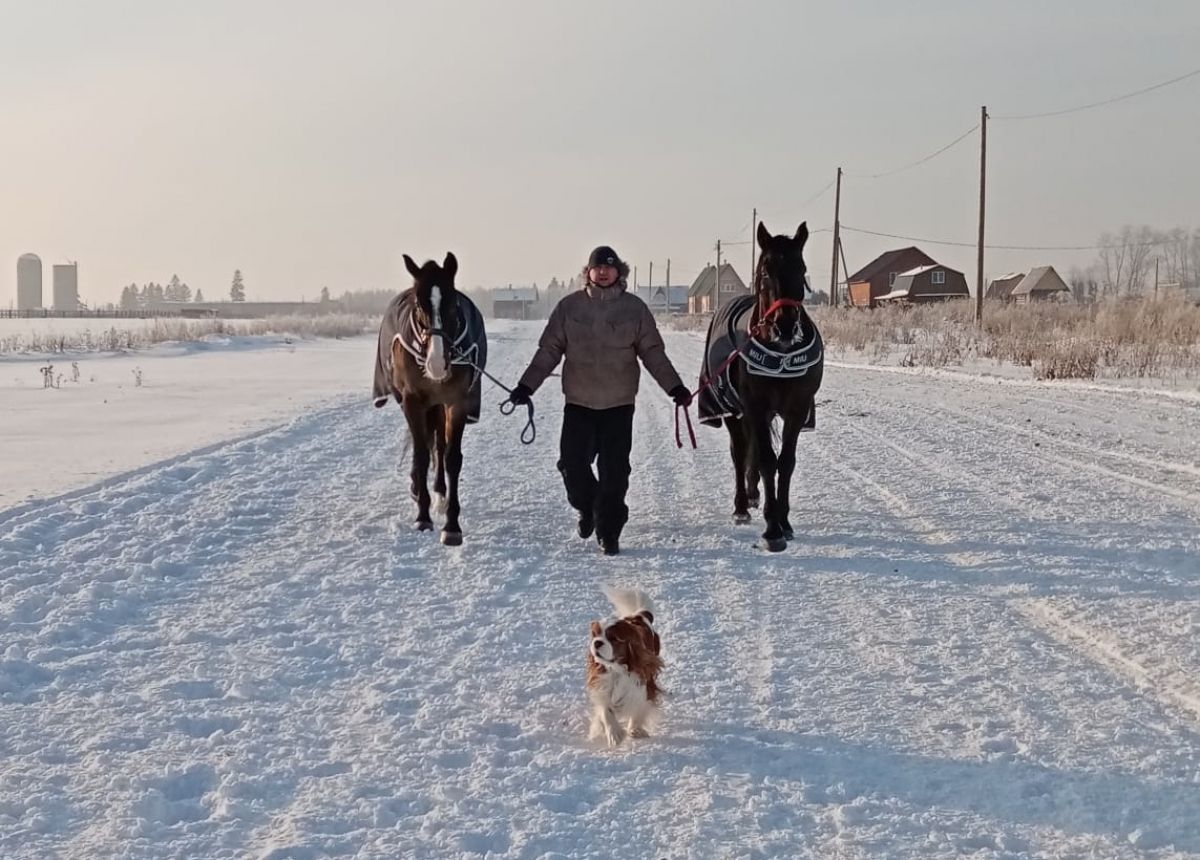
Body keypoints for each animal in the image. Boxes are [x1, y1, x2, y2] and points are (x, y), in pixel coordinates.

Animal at [374, 251, 487, 544]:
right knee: (424, 445)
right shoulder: (413, 402)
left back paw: (439, 493)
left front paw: (452, 525)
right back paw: (419, 489)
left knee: (438, 442)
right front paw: (423, 517)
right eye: (418, 305)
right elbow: (422, 456)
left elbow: (451, 457)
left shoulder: (456, 402)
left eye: (453, 304)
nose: (436, 364)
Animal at [700, 218, 820, 546]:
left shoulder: (796, 409)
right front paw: (772, 528)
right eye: (765, 270)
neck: (781, 354)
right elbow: (766, 459)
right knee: (741, 452)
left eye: (802, 268)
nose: (785, 325)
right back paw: (742, 505)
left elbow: (785, 462)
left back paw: (753, 495)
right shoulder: (753, 405)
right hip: (733, 410)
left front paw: (785, 521)